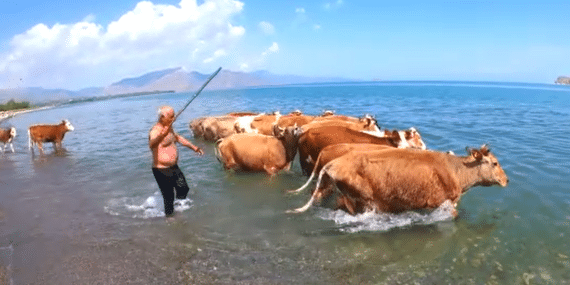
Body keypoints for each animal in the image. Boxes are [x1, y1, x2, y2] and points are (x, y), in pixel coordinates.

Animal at [286, 145, 508, 214]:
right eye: (495, 163)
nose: (506, 180)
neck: (456, 170)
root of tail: (333, 162)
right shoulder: (447, 202)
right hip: (364, 198)